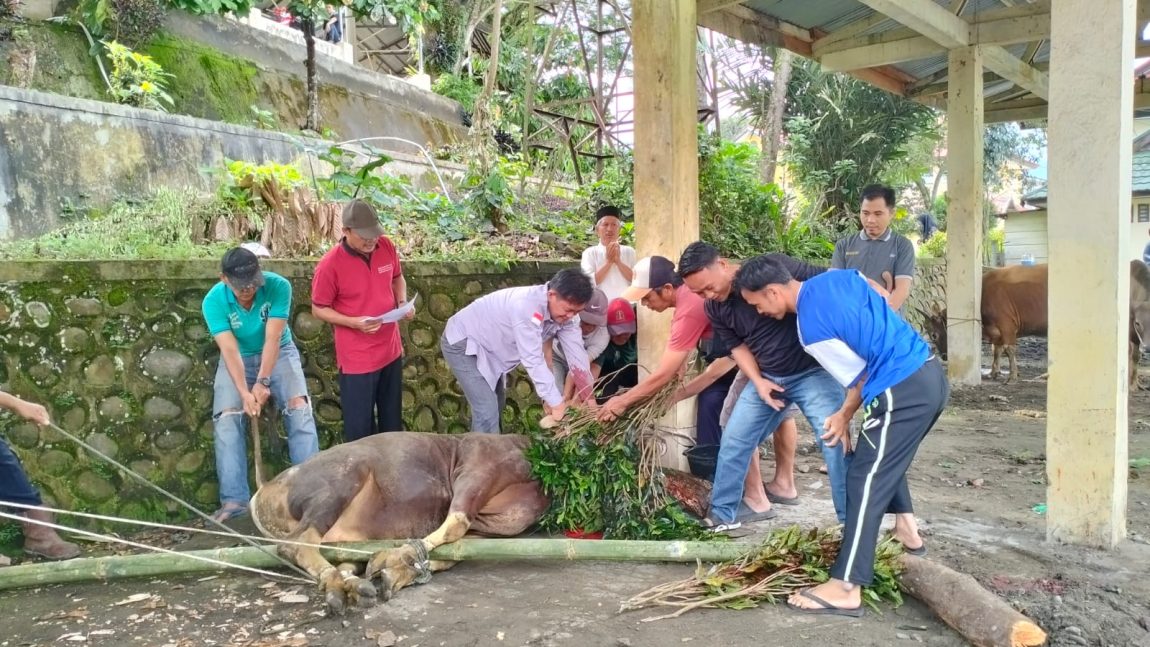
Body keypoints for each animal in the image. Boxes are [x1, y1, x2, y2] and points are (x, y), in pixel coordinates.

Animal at [254, 432, 549, 615]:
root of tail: (265, 488)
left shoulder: (493, 527)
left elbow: (453, 553)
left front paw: (395, 573)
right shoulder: (477, 471)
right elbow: (455, 523)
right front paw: (396, 561)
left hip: (349, 534)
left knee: (341, 559)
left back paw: (351, 589)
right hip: (338, 484)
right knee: (296, 543)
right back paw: (341, 584)